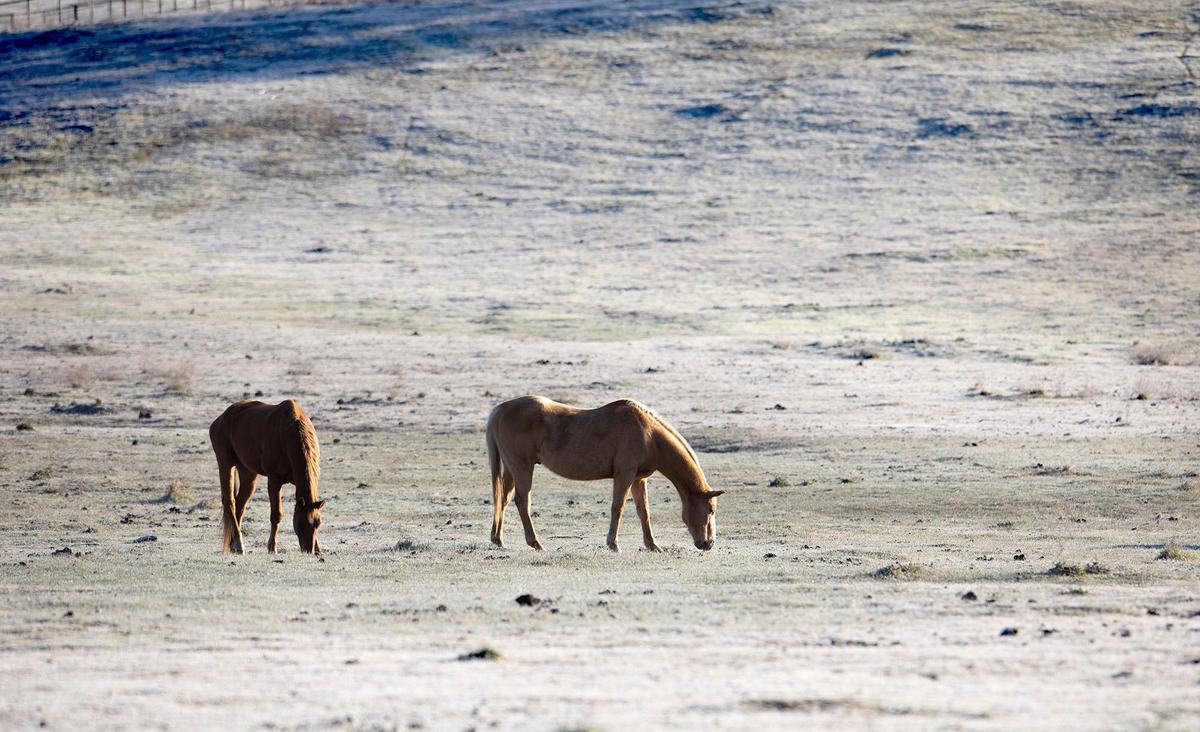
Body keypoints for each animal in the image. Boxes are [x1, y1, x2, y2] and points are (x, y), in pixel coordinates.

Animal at [209, 399, 325, 555]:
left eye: (318, 524)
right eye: (300, 525)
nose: (308, 550)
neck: (289, 432)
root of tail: (221, 419)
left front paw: (318, 550)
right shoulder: (274, 481)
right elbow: (276, 515)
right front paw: (272, 547)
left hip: (247, 473)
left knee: (239, 505)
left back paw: (234, 545)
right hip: (225, 465)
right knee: (230, 503)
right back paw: (239, 545)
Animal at [485, 395, 724, 552]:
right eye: (710, 510)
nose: (708, 544)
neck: (648, 433)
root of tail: (499, 410)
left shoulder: (638, 479)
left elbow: (643, 511)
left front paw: (652, 545)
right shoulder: (624, 475)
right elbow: (617, 508)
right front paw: (613, 544)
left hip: (511, 470)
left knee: (503, 500)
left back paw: (498, 539)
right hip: (522, 468)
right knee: (522, 502)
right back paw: (535, 543)